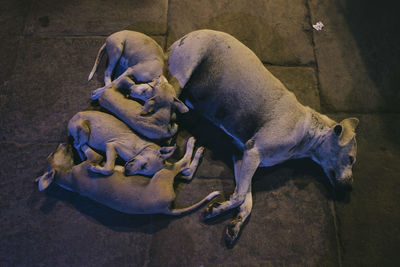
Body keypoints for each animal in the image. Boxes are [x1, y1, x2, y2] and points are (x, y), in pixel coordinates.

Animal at [169, 30, 360, 248]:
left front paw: (235, 223)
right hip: (184, 71)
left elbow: (247, 200)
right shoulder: (254, 151)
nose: (350, 187)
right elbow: (240, 196)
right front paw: (216, 209)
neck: (307, 132)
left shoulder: (243, 156)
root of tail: (184, 36)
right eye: (351, 159)